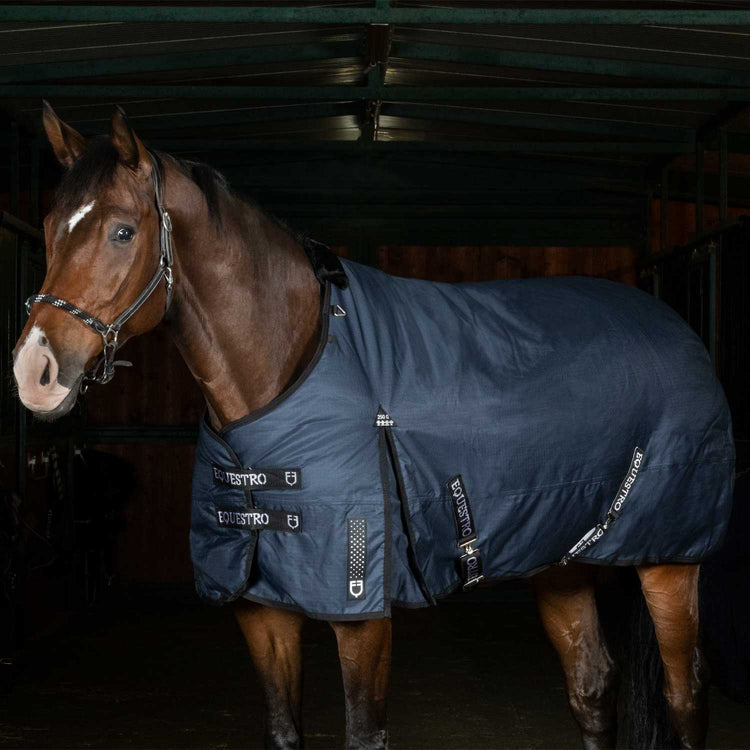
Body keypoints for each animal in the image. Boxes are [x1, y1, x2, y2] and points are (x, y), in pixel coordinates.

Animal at [12, 102, 734, 750]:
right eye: (48, 226)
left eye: (122, 232)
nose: (33, 371)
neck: (287, 374)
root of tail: (674, 326)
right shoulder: (260, 611)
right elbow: (283, 729)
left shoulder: (361, 618)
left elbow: (364, 732)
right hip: (561, 562)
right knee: (592, 685)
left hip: (671, 562)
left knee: (685, 695)